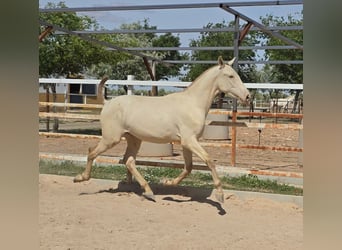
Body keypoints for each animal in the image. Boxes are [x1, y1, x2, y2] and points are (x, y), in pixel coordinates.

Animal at [75, 55, 250, 202]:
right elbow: (209, 161)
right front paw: (220, 195)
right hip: (111, 139)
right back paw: (81, 178)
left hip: (134, 139)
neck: (193, 104)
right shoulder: (189, 141)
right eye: (230, 76)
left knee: (128, 161)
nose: (248, 96)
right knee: (92, 152)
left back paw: (149, 191)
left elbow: (188, 167)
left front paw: (167, 182)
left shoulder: (187, 143)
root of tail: (107, 103)